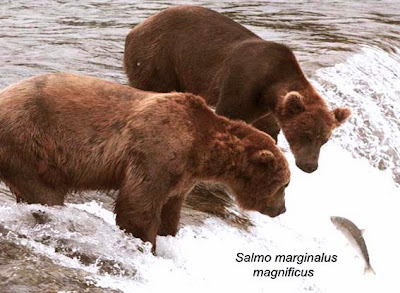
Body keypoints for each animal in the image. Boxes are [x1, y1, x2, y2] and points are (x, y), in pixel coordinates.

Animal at [0, 72, 290, 251]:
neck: (201, 150)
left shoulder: (183, 176)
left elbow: (170, 209)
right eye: (285, 184)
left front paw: (168, 233)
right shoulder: (157, 150)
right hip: (32, 144)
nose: (282, 210)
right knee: (44, 193)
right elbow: (138, 206)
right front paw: (148, 245)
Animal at [124, 5, 350, 173]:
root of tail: (136, 28)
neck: (271, 85)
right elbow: (231, 115)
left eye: (324, 139)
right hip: (159, 57)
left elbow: (267, 128)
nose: (310, 166)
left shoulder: (264, 106)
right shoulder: (243, 82)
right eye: (306, 134)